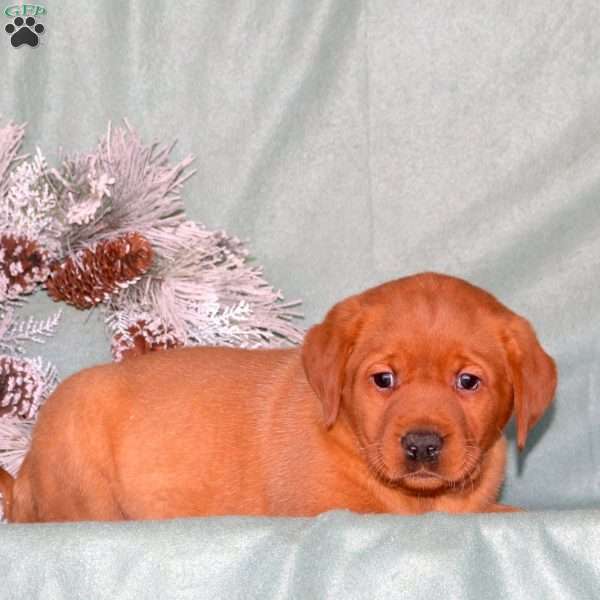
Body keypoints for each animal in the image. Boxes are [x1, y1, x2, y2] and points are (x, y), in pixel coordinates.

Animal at [0, 274, 556, 520]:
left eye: (468, 382)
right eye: (383, 380)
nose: (421, 445)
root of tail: (24, 475)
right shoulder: (328, 510)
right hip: (82, 466)